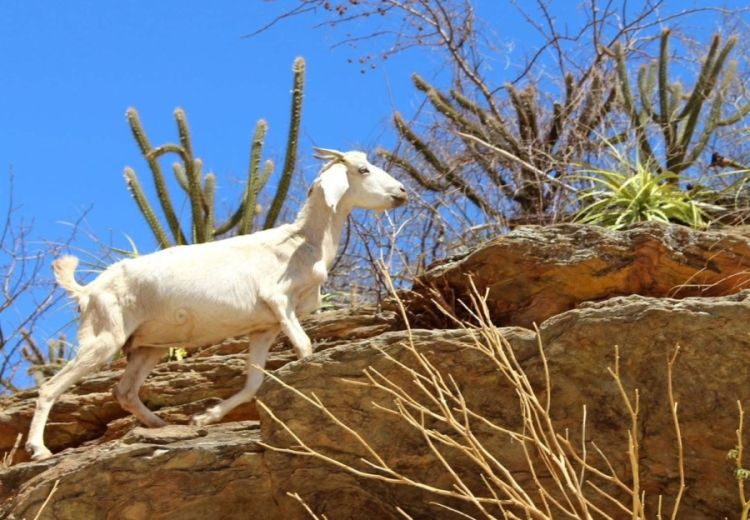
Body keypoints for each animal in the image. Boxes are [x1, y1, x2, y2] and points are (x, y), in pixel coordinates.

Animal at [26, 146, 408, 460]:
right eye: (362, 169)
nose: (401, 192)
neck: (300, 243)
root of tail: (87, 291)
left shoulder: (265, 326)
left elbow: (254, 382)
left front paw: (203, 417)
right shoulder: (280, 302)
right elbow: (305, 347)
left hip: (148, 346)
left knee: (125, 391)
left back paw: (161, 425)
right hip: (104, 338)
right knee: (50, 387)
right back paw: (39, 450)